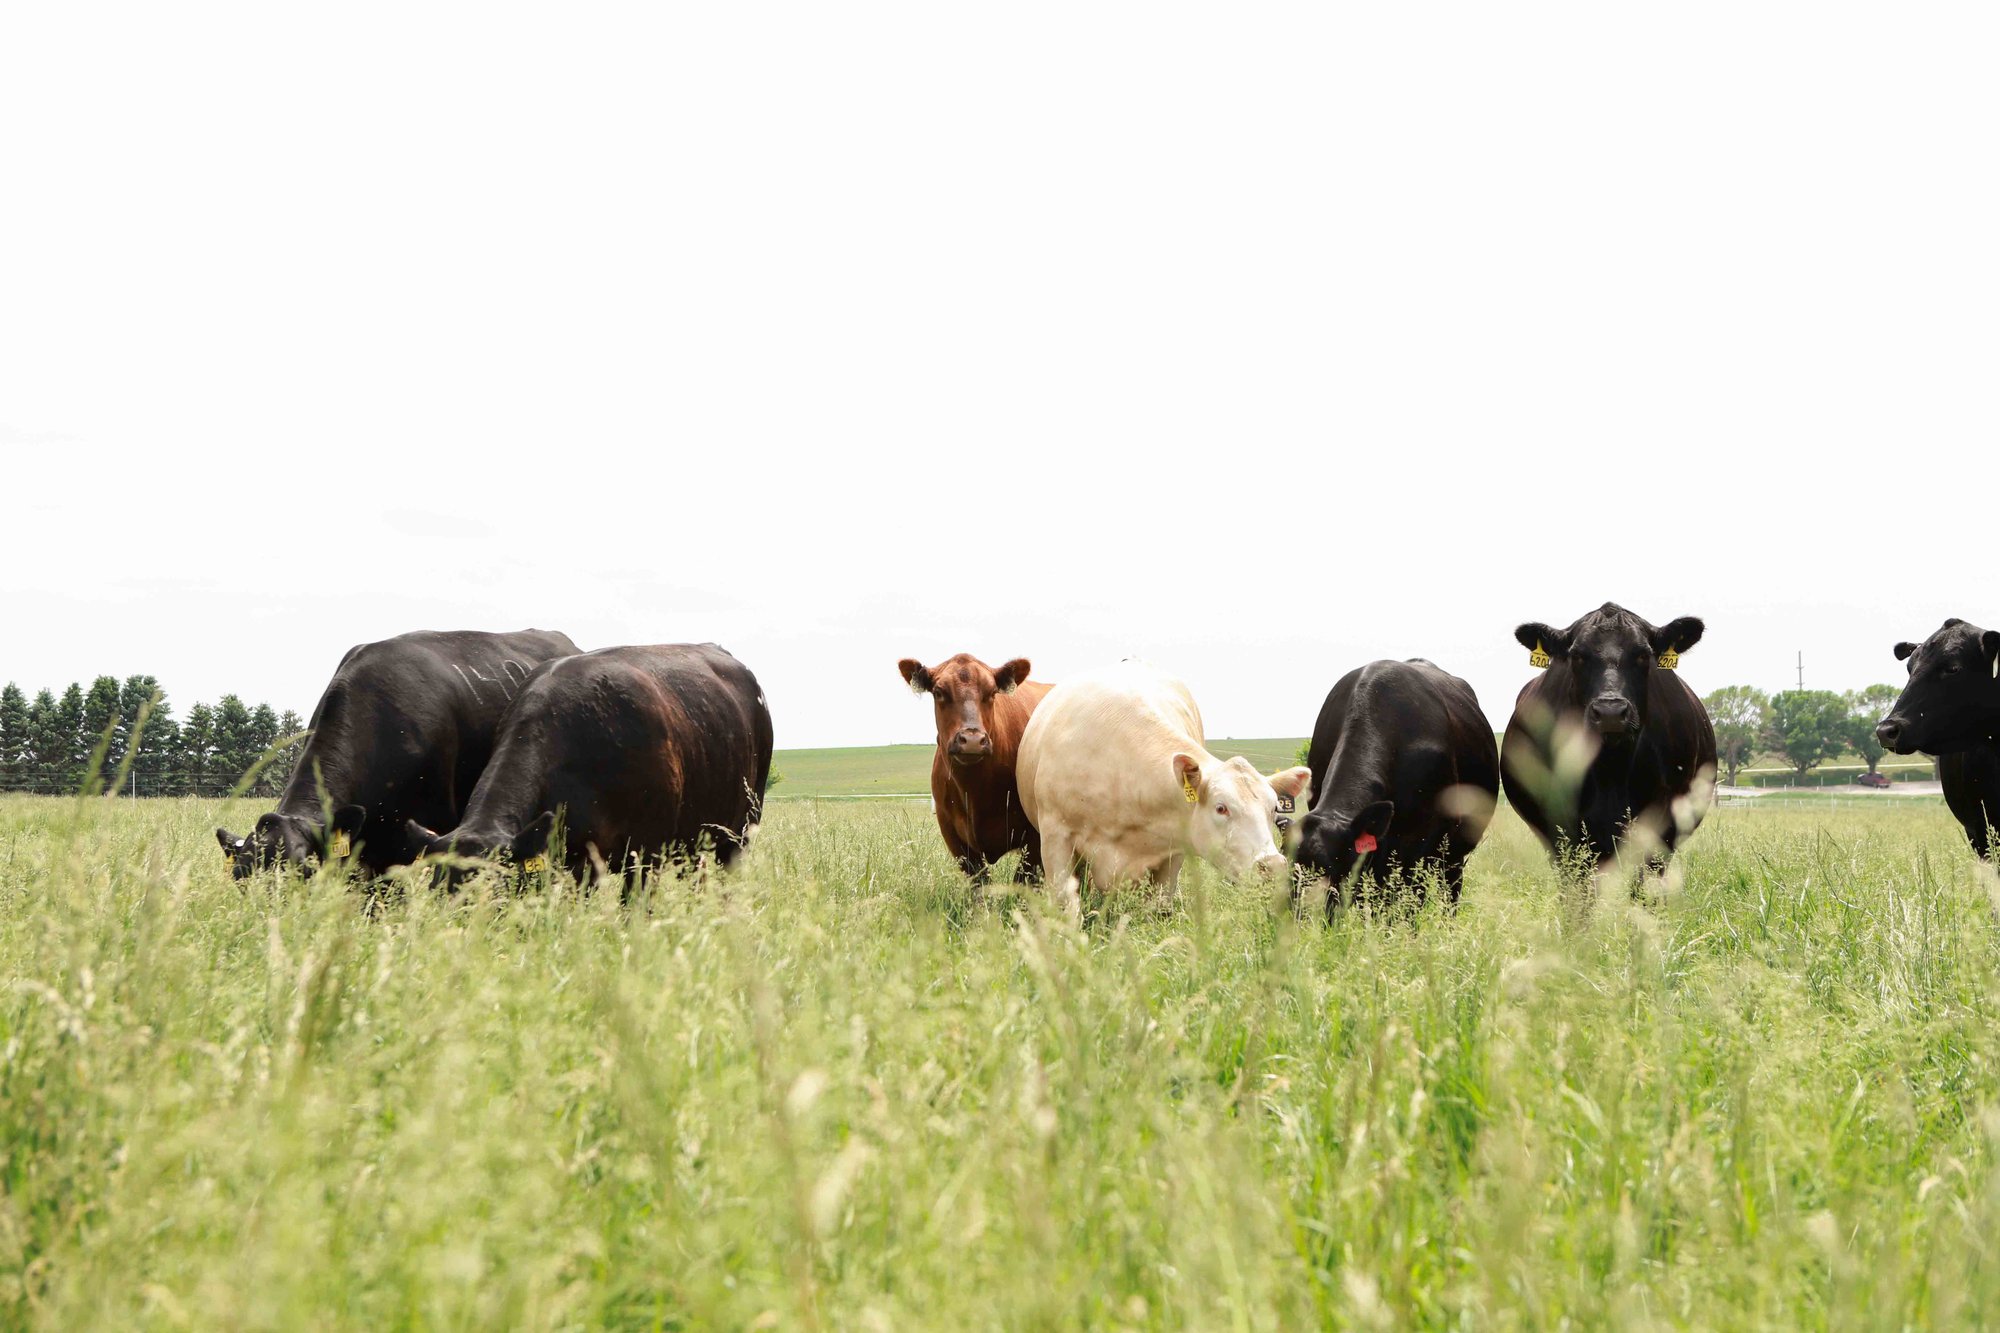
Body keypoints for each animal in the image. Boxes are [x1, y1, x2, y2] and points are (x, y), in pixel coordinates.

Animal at [897, 653, 1050, 881]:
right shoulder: (953, 834)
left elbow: (1023, 879)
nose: (972, 740)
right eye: (939, 692)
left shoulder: (1036, 838)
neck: (976, 789)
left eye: (992, 692)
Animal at [1016, 659, 1312, 913]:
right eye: (1221, 808)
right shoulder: (1055, 838)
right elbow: (1067, 905)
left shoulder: (1174, 851)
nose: (1272, 866)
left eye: (1274, 809)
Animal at [1500, 603, 1715, 868]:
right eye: (1577, 656)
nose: (1609, 712)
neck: (1611, 769)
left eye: (1643, 655)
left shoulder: (1661, 829)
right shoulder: (1564, 831)